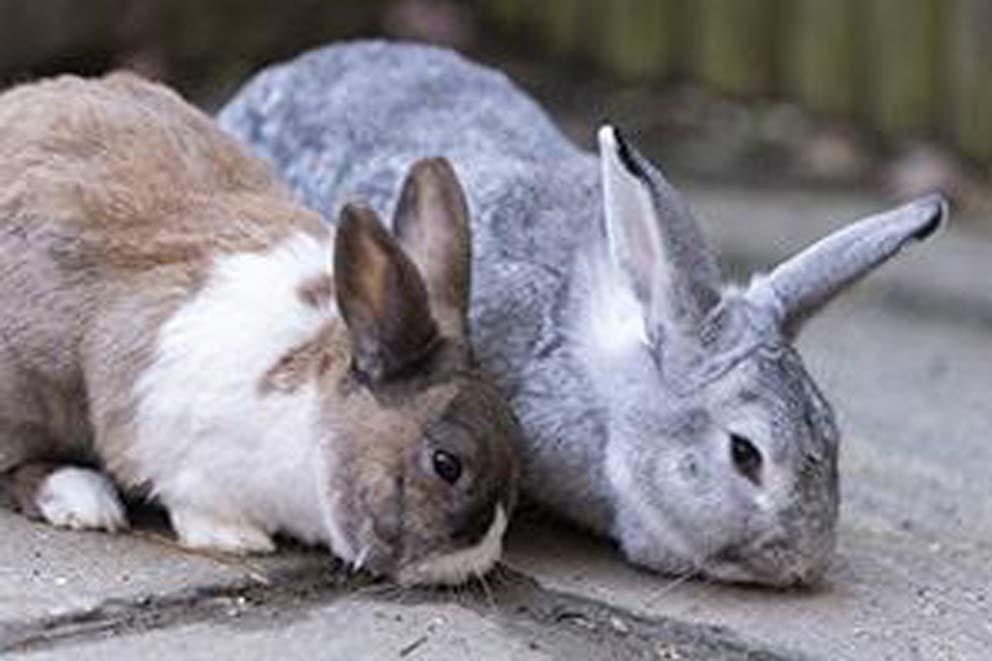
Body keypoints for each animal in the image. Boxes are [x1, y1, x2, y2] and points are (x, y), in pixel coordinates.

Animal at [0, 75, 520, 584]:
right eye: (446, 464)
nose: (476, 563)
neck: (311, 415)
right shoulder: (167, 433)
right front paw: (235, 539)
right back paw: (82, 499)